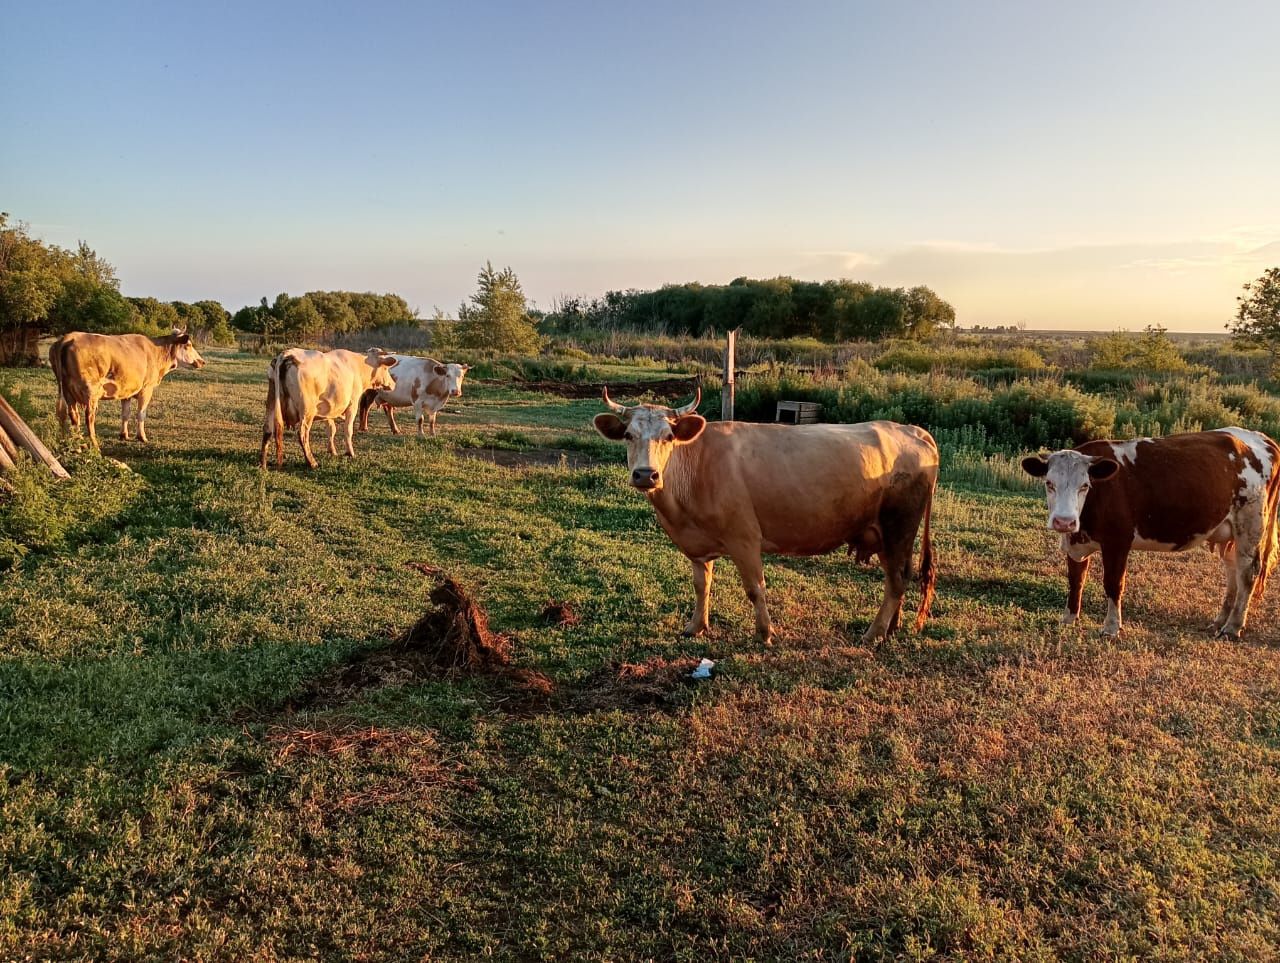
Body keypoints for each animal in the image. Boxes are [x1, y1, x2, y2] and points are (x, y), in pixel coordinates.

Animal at [51, 327, 207, 448]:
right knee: (89, 417)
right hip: (90, 392)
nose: (202, 361)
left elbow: (125, 413)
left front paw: (124, 435)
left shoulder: (126, 390)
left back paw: (79, 442)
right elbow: (141, 414)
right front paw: (142, 437)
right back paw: (94, 444)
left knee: (74, 416)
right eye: (188, 345)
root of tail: (69, 337)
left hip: (68, 392)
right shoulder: (146, 389)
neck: (156, 352)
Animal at [259, 345, 399, 471]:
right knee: (303, 434)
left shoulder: (328, 408)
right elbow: (348, 430)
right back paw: (312, 462)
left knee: (267, 430)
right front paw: (350, 453)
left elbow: (331, 430)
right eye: (386, 368)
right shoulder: (352, 405)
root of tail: (287, 354)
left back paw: (263, 464)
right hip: (307, 410)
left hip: (271, 402)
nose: (393, 384)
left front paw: (332, 451)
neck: (358, 367)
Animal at [591, 386, 942, 647]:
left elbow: (754, 587)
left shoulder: (744, 538)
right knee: (898, 576)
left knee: (896, 580)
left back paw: (873, 633)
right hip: (886, 533)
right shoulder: (698, 544)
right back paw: (890, 628)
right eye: (628, 435)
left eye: (668, 437)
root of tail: (911, 429)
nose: (645, 475)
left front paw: (765, 633)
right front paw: (696, 626)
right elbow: (701, 584)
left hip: (899, 525)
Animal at [1024, 427, 1280, 640]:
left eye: (1085, 486)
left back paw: (1232, 627)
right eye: (1049, 483)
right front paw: (1069, 619)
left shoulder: (1118, 541)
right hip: (1229, 533)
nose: (1064, 521)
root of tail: (1261, 438)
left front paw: (1111, 627)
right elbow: (1075, 580)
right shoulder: (1075, 543)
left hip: (1251, 524)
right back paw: (1219, 622)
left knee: (1248, 572)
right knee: (1233, 571)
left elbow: (1113, 583)